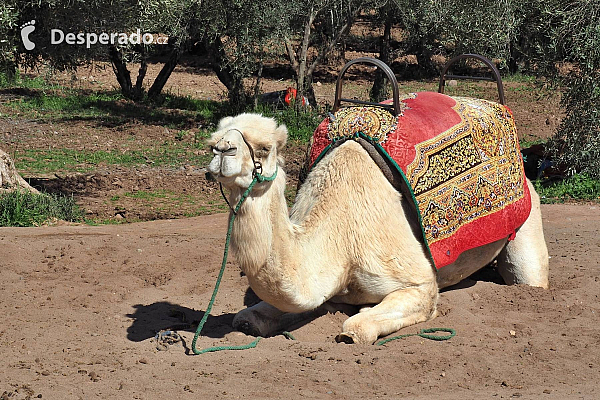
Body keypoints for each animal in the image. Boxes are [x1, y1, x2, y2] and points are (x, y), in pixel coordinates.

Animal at [206, 112, 548, 344]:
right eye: (212, 142)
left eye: (264, 147)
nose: (223, 150)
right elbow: (248, 318)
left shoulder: (419, 283)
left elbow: (356, 327)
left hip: (529, 215)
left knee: (530, 276)